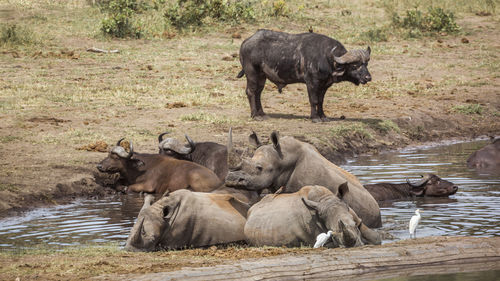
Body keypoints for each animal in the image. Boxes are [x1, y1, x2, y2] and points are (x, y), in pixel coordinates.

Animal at [237, 29, 372, 122]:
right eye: (355, 65)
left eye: (366, 64)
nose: (368, 78)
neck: (327, 58)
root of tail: (245, 42)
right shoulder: (312, 83)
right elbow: (314, 100)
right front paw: (315, 117)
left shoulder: (324, 85)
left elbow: (321, 101)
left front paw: (323, 116)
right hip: (252, 73)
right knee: (250, 91)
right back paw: (255, 115)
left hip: (262, 76)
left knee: (258, 93)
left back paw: (262, 114)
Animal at [244, 185, 380, 246]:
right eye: (334, 237)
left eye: (355, 226)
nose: (355, 245)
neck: (324, 199)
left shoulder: (357, 218)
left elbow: (375, 238)